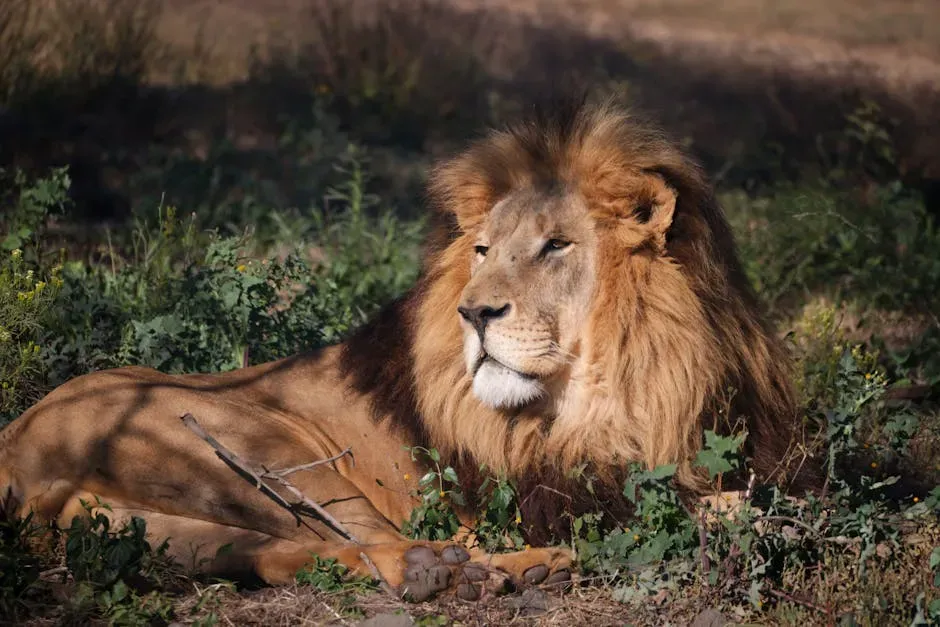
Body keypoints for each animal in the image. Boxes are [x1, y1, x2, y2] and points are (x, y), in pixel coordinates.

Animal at [0, 98, 816, 602]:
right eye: (483, 249)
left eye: (555, 246)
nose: (474, 311)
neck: (626, 383)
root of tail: (14, 449)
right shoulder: (548, 489)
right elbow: (687, 507)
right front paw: (739, 515)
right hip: (250, 444)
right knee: (374, 544)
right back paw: (475, 572)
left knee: (288, 551)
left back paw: (478, 573)